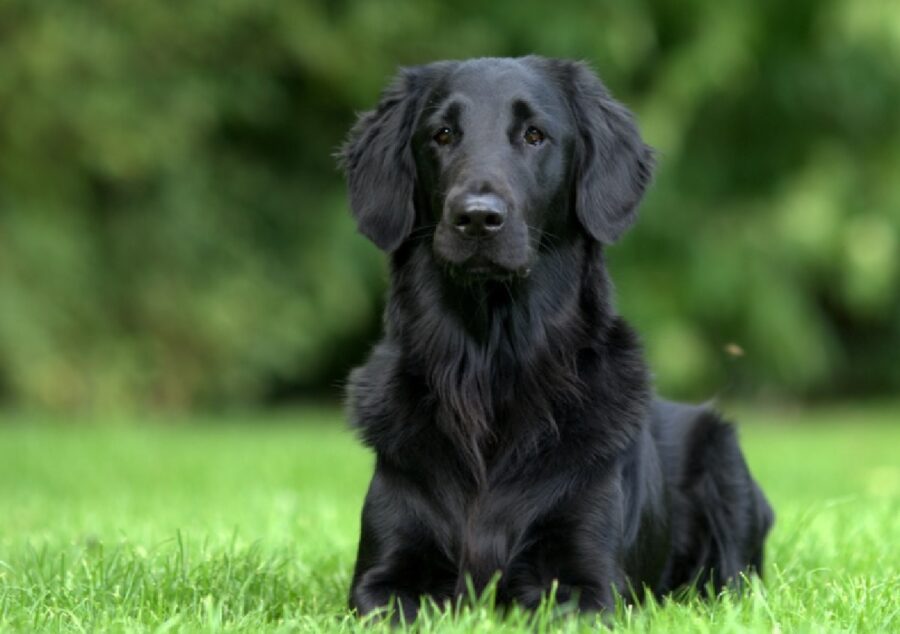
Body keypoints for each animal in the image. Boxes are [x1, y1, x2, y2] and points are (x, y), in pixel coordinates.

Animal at [338, 55, 772, 616]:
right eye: (442, 134)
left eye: (535, 135)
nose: (476, 218)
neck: (489, 367)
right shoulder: (381, 580)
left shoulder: (590, 584)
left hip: (726, 467)